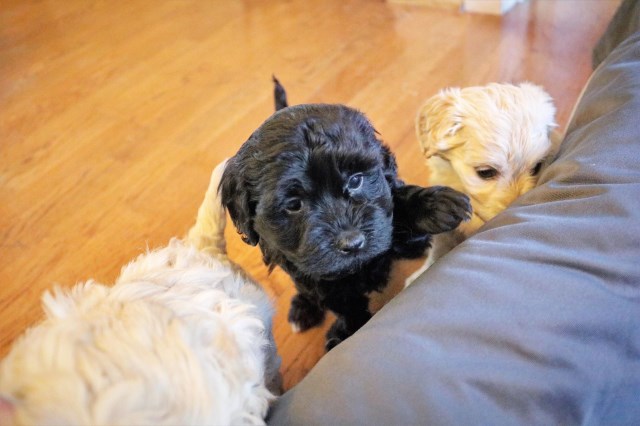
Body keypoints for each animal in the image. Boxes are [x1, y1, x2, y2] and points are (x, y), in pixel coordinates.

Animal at [220, 80, 470, 350]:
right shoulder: (320, 279)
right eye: (294, 204)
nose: (353, 243)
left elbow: (395, 203)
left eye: (356, 180)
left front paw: (433, 204)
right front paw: (347, 332)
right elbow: (344, 304)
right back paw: (303, 307)